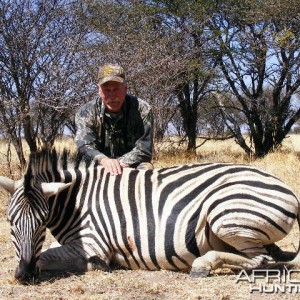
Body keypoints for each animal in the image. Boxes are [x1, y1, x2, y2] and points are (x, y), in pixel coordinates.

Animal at [0, 149, 298, 284]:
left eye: (41, 224)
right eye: (10, 223)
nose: (23, 275)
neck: (76, 202)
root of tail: (287, 189)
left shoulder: (95, 242)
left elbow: (46, 256)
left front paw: (96, 265)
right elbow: (46, 252)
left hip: (226, 216)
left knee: (261, 260)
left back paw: (203, 264)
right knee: (271, 256)